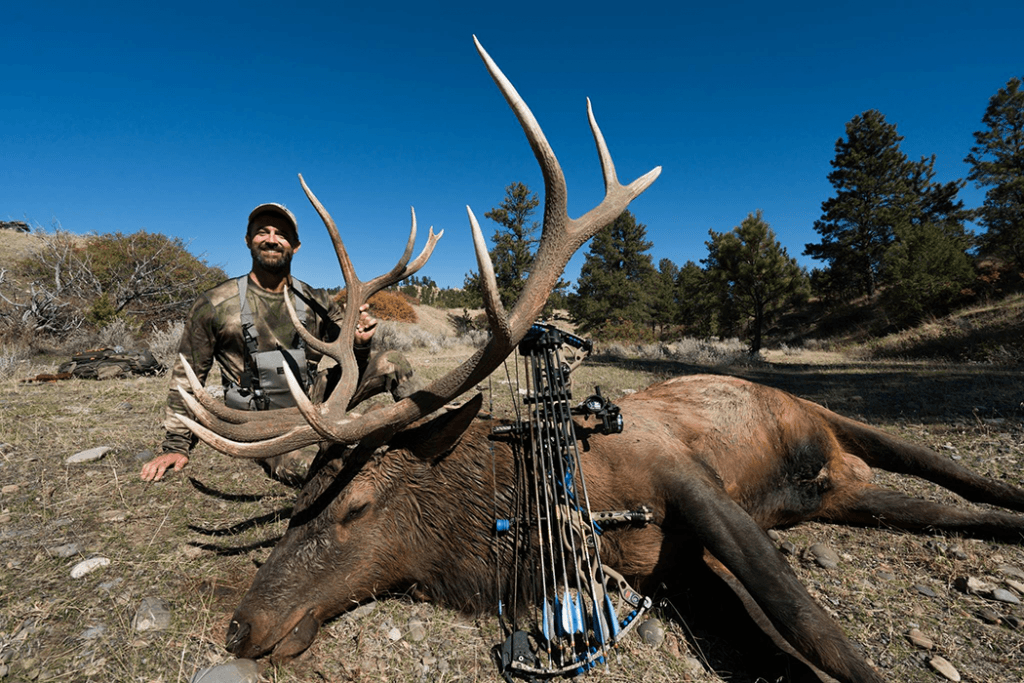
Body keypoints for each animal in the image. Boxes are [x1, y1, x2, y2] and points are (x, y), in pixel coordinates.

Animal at [176, 37, 1024, 683]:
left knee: (968, 477)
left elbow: (815, 627)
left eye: (352, 507)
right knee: (953, 510)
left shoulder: (687, 479)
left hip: (835, 416)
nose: (239, 627)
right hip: (844, 489)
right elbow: (769, 637)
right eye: (297, 502)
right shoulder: (677, 566)